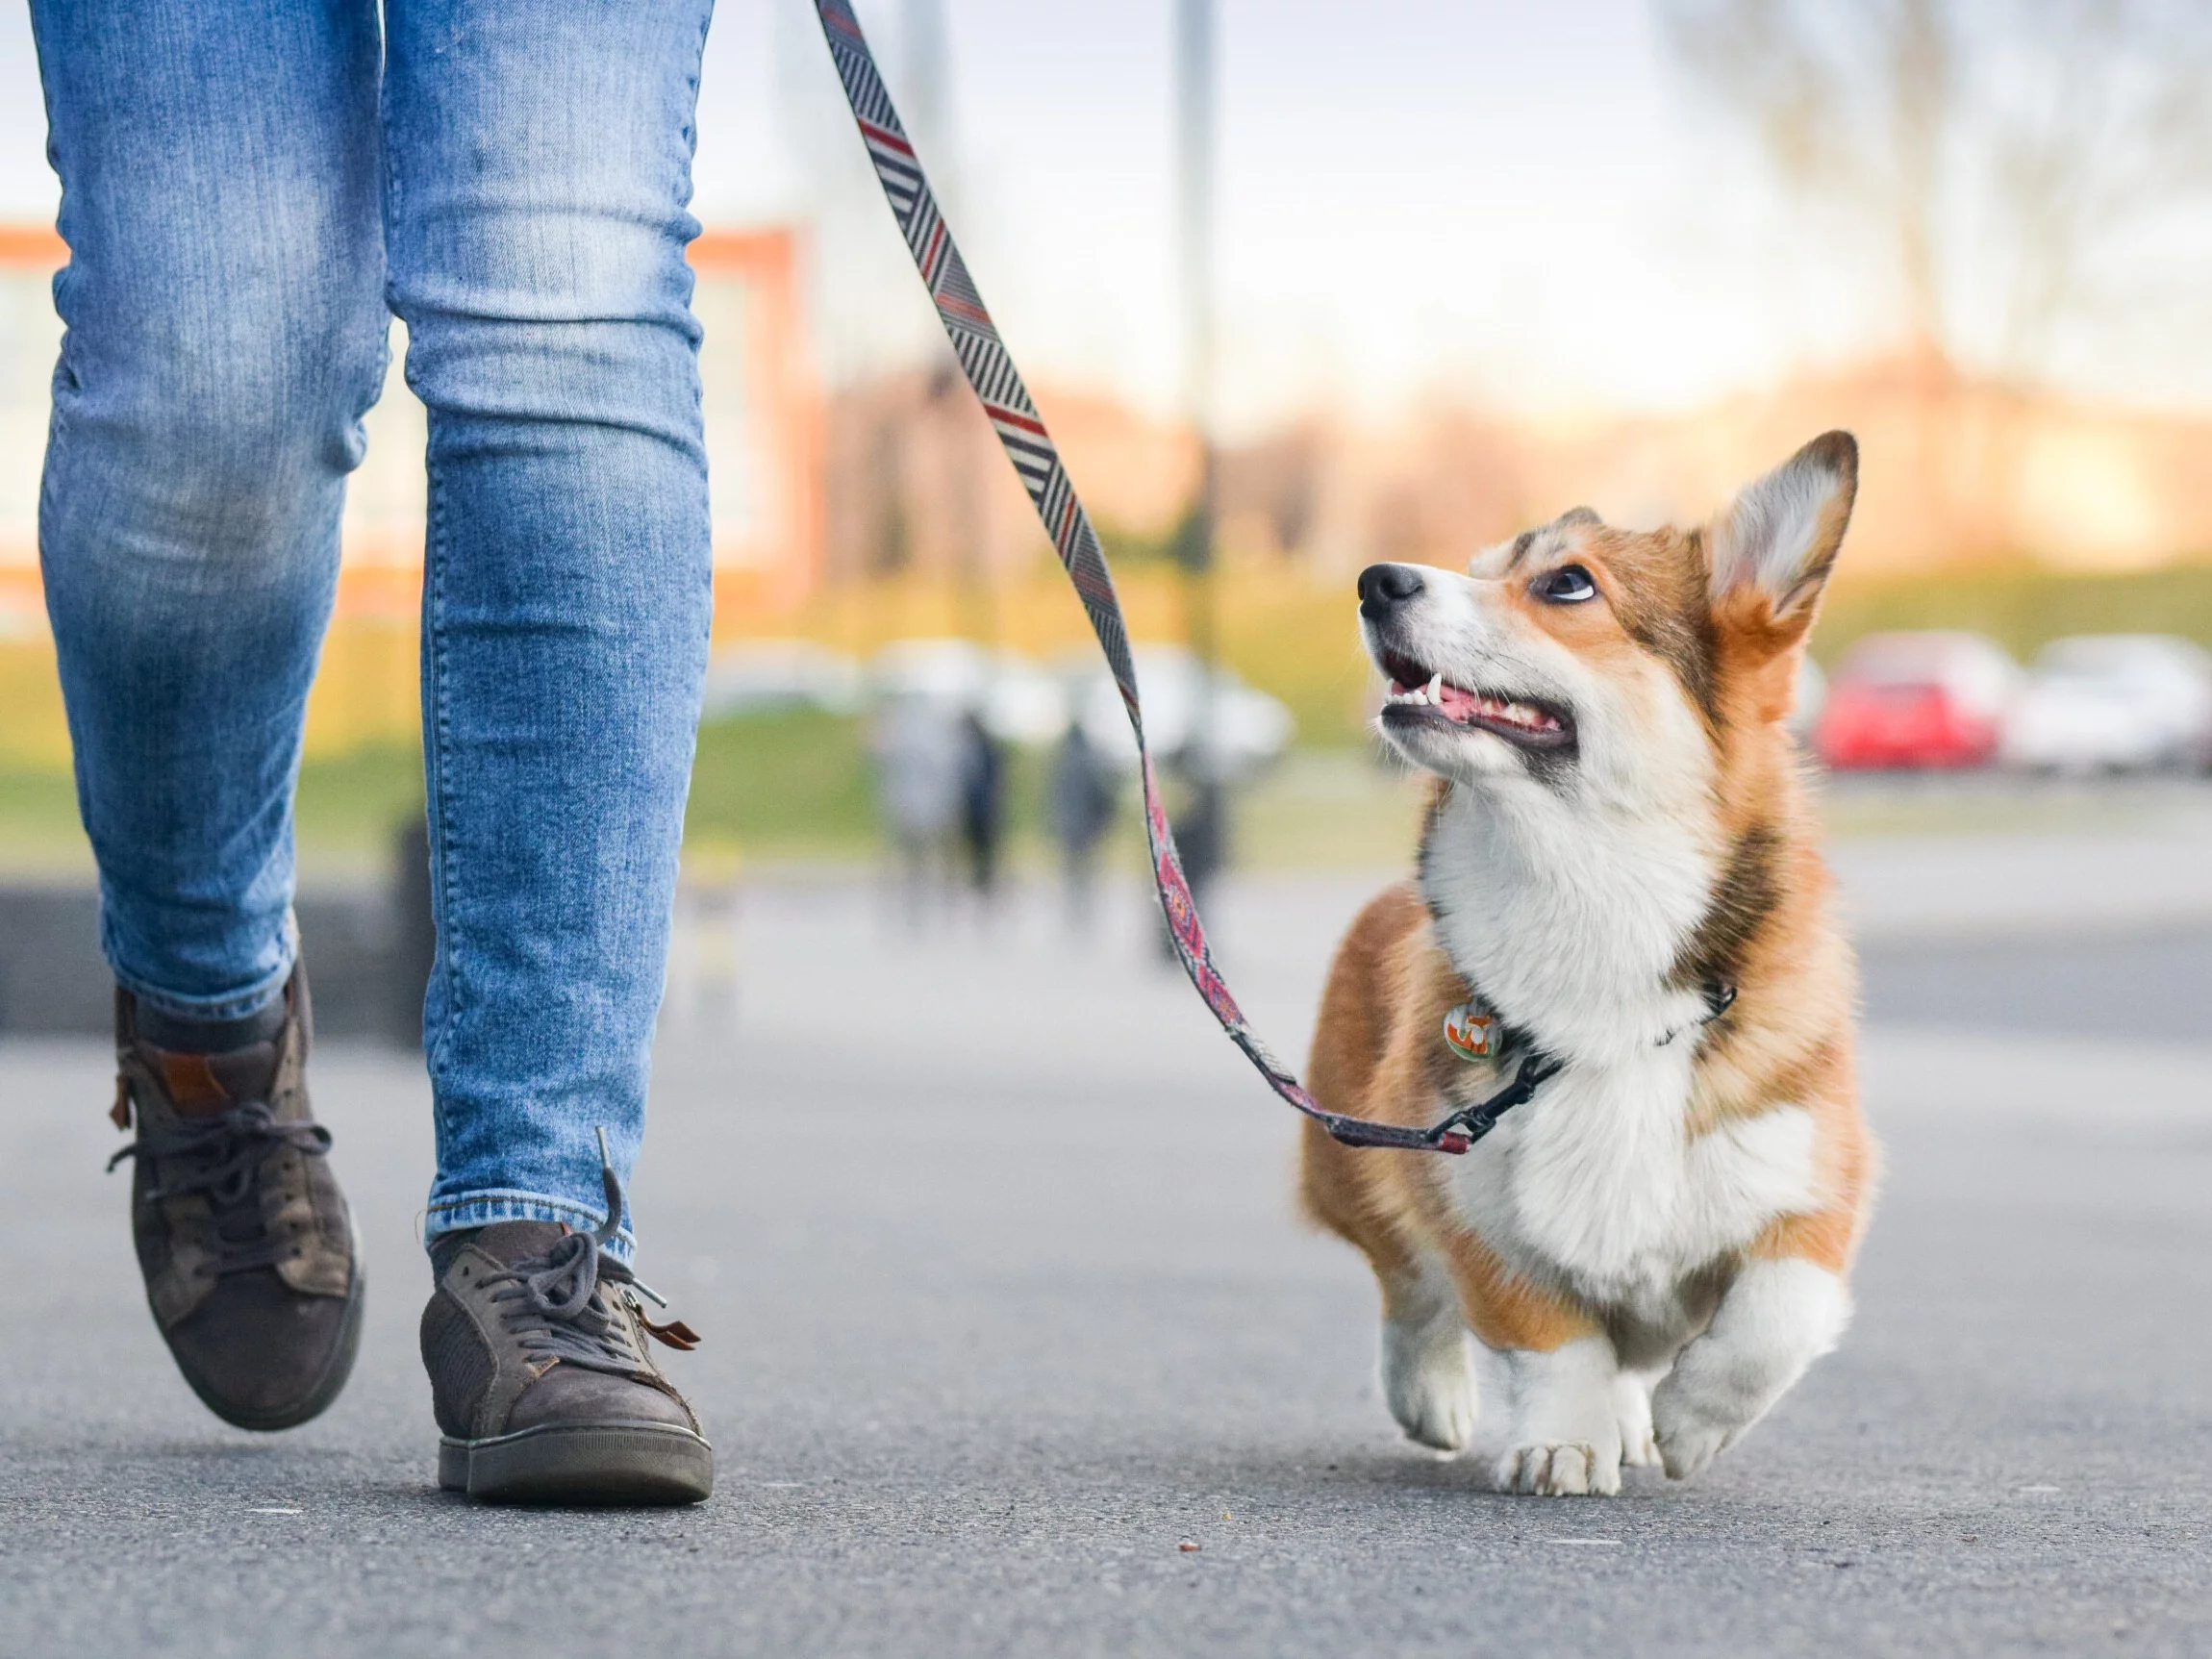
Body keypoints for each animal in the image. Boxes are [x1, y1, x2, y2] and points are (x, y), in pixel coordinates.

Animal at [1300, 436, 1875, 1504]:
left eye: (1566, 583)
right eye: (1478, 567)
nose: (1374, 580)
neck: (1590, 901)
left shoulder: (1815, 1182)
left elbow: (1775, 1316)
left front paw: (1691, 1422)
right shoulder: (1467, 1192)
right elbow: (1549, 1336)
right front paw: (1563, 1443)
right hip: (1353, 1158)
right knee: (1407, 1286)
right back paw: (1433, 1395)